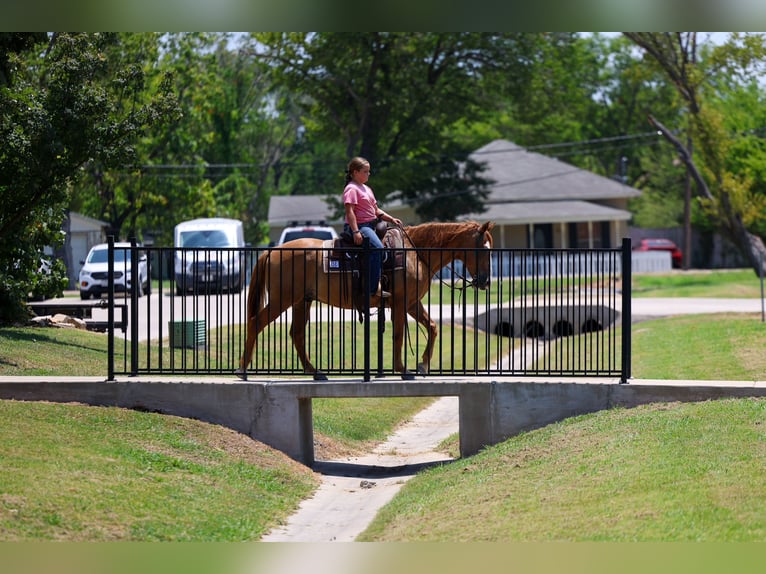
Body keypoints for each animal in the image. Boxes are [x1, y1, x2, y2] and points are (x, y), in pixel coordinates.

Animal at [238, 220, 494, 380]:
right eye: (484, 249)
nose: (485, 281)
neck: (416, 253)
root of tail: (271, 252)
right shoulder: (401, 303)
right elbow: (399, 334)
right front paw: (403, 369)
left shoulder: (412, 303)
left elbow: (432, 327)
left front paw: (422, 365)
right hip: (282, 300)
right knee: (255, 323)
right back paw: (242, 369)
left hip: (302, 301)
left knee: (297, 334)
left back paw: (316, 372)